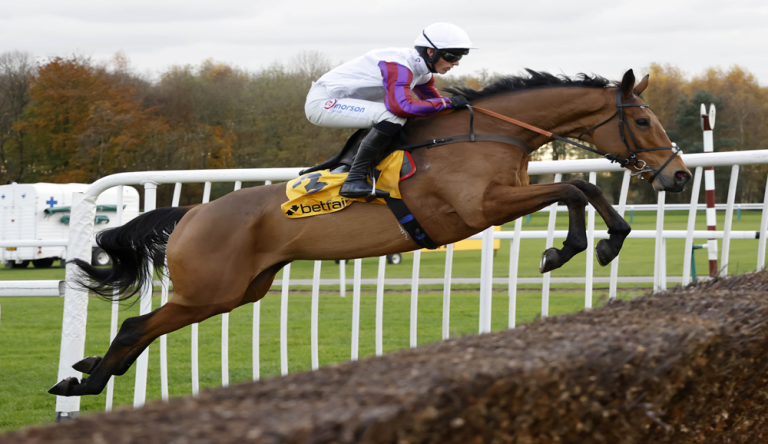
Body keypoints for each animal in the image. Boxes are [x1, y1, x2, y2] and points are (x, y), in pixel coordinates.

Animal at [49, 69, 691, 397]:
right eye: (641, 120)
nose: (679, 175)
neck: (485, 135)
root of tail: (190, 214)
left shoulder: (496, 203)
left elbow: (582, 189)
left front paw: (602, 240)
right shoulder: (479, 208)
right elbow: (574, 189)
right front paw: (571, 249)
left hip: (238, 291)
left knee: (144, 328)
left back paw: (88, 370)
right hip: (211, 290)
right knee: (135, 326)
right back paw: (84, 382)